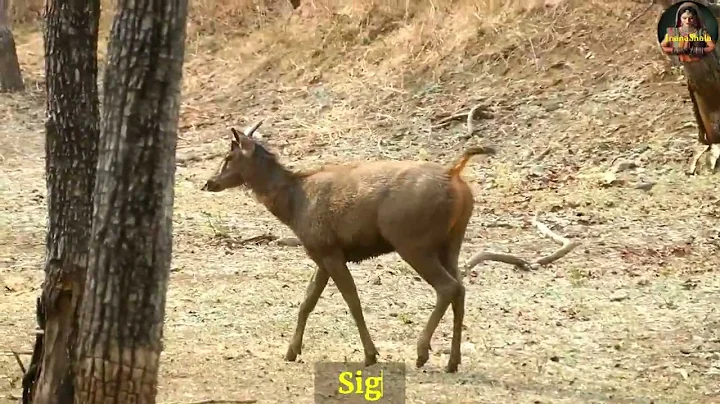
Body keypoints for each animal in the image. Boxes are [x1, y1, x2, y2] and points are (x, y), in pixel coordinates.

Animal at [201, 120, 494, 373]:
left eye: (228, 157)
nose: (209, 182)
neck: (293, 207)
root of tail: (453, 174)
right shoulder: (321, 253)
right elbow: (307, 301)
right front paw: (291, 351)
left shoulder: (329, 250)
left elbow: (352, 300)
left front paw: (370, 354)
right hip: (451, 242)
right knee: (461, 289)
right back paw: (453, 362)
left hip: (412, 242)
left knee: (448, 287)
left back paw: (422, 353)